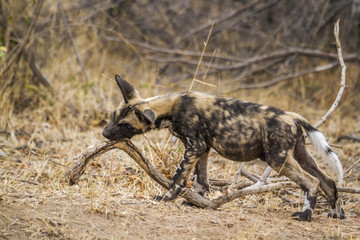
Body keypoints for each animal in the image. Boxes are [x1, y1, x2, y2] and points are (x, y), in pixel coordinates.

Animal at [102, 74, 344, 221]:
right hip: (299, 156)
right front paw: (197, 202)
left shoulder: (194, 147)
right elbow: (201, 180)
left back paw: (305, 215)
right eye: (114, 116)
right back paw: (336, 214)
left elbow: (178, 177)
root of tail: (293, 116)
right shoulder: (203, 149)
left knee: (311, 182)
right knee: (328, 181)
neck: (171, 107)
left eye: (125, 125)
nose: (104, 133)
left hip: (277, 160)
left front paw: (167, 198)